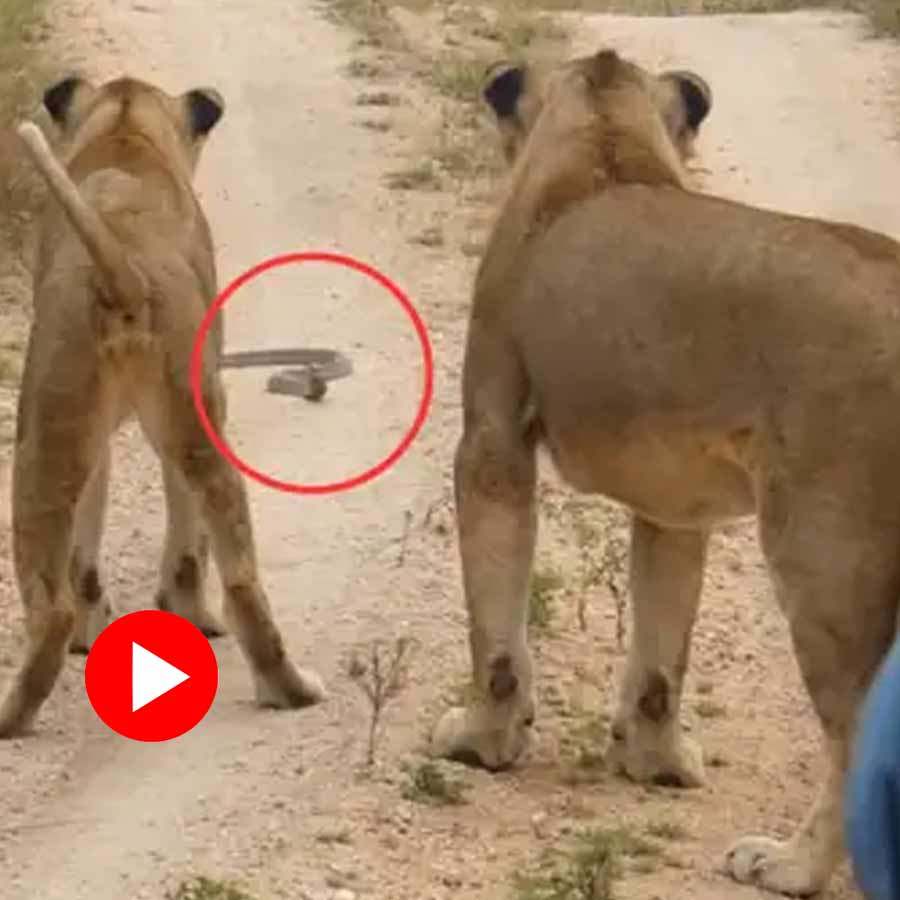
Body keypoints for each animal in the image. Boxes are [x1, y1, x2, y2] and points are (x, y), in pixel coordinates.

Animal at [0, 75, 326, 738]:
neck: (128, 135)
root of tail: (121, 267)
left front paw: (99, 625)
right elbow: (182, 542)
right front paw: (182, 613)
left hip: (44, 434)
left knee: (52, 607)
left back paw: (13, 711)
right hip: (199, 424)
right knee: (240, 575)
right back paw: (292, 689)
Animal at [430, 47, 900, 898]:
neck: (606, 140)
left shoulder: (490, 442)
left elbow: (496, 634)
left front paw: (480, 742)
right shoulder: (676, 501)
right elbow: (661, 645)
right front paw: (656, 764)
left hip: (825, 555)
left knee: (851, 731)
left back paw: (788, 864)